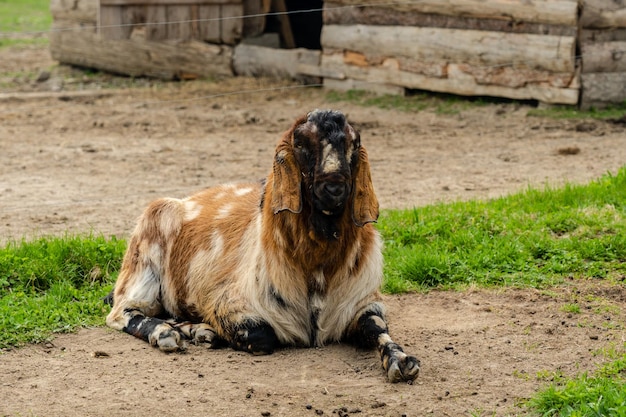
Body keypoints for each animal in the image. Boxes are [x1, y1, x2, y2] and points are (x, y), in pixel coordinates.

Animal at [106, 109, 420, 382]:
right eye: (300, 143)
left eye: (354, 143)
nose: (334, 187)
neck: (317, 269)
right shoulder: (229, 304)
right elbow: (261, 337)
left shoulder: (364, 302)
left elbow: (377, 328)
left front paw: (402, 361)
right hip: (146, 251)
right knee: (124, 311)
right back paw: (166, 334)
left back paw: (198, 332)